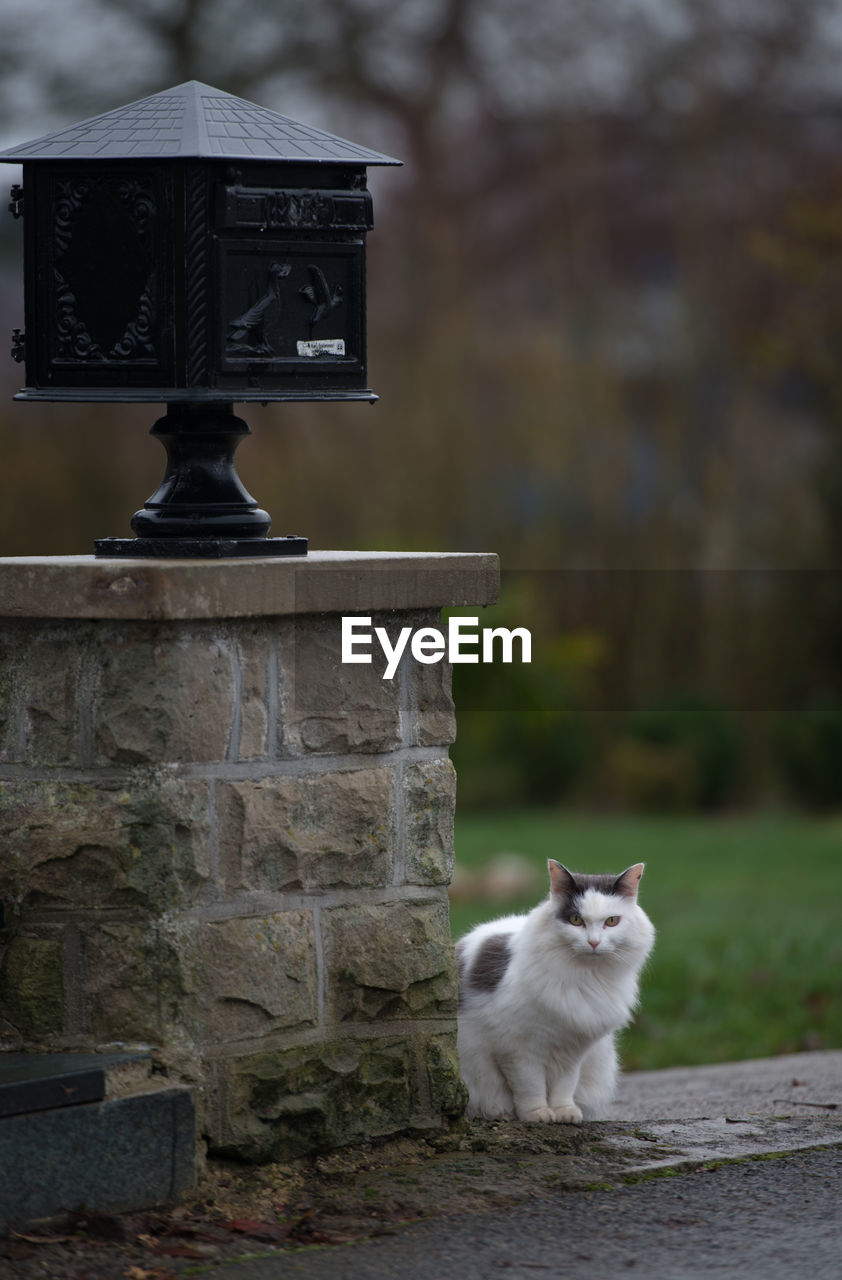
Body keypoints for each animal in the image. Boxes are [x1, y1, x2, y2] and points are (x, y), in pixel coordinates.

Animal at [455, 860, 652, 1121]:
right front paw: (537, 1114)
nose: (594, 942)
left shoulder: (573, 1051)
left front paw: (564, 1112)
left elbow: (564, 1085)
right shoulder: (518, 1049)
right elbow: (530, 1086)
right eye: (576, 919)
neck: (585, 979)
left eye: (611, 921)